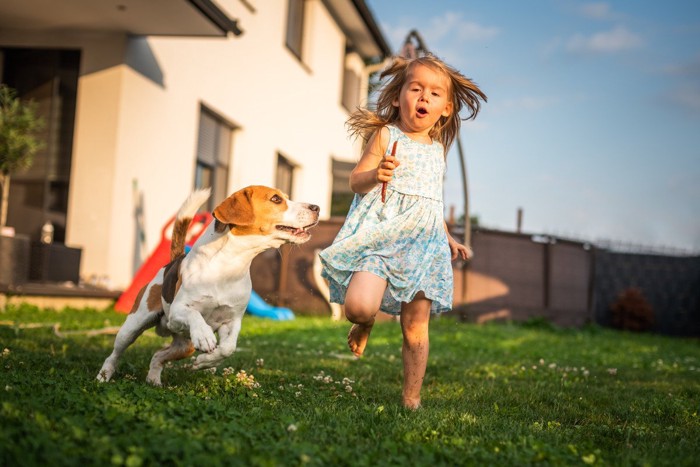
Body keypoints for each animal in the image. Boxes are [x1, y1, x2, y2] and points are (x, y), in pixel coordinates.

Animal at [96, 185, 320, 386]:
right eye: (276, 199)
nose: (316, 207)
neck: (229, 264)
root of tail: (173, 261)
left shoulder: (232, 320)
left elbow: (228, 348)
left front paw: (204, 362)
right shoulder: (178, 310)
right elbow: (195, 315)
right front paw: (205, 337)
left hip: (185, 345)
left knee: (158, 355)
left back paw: (153, 380)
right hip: (134, 325)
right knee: (115, 353)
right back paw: (104, 375)